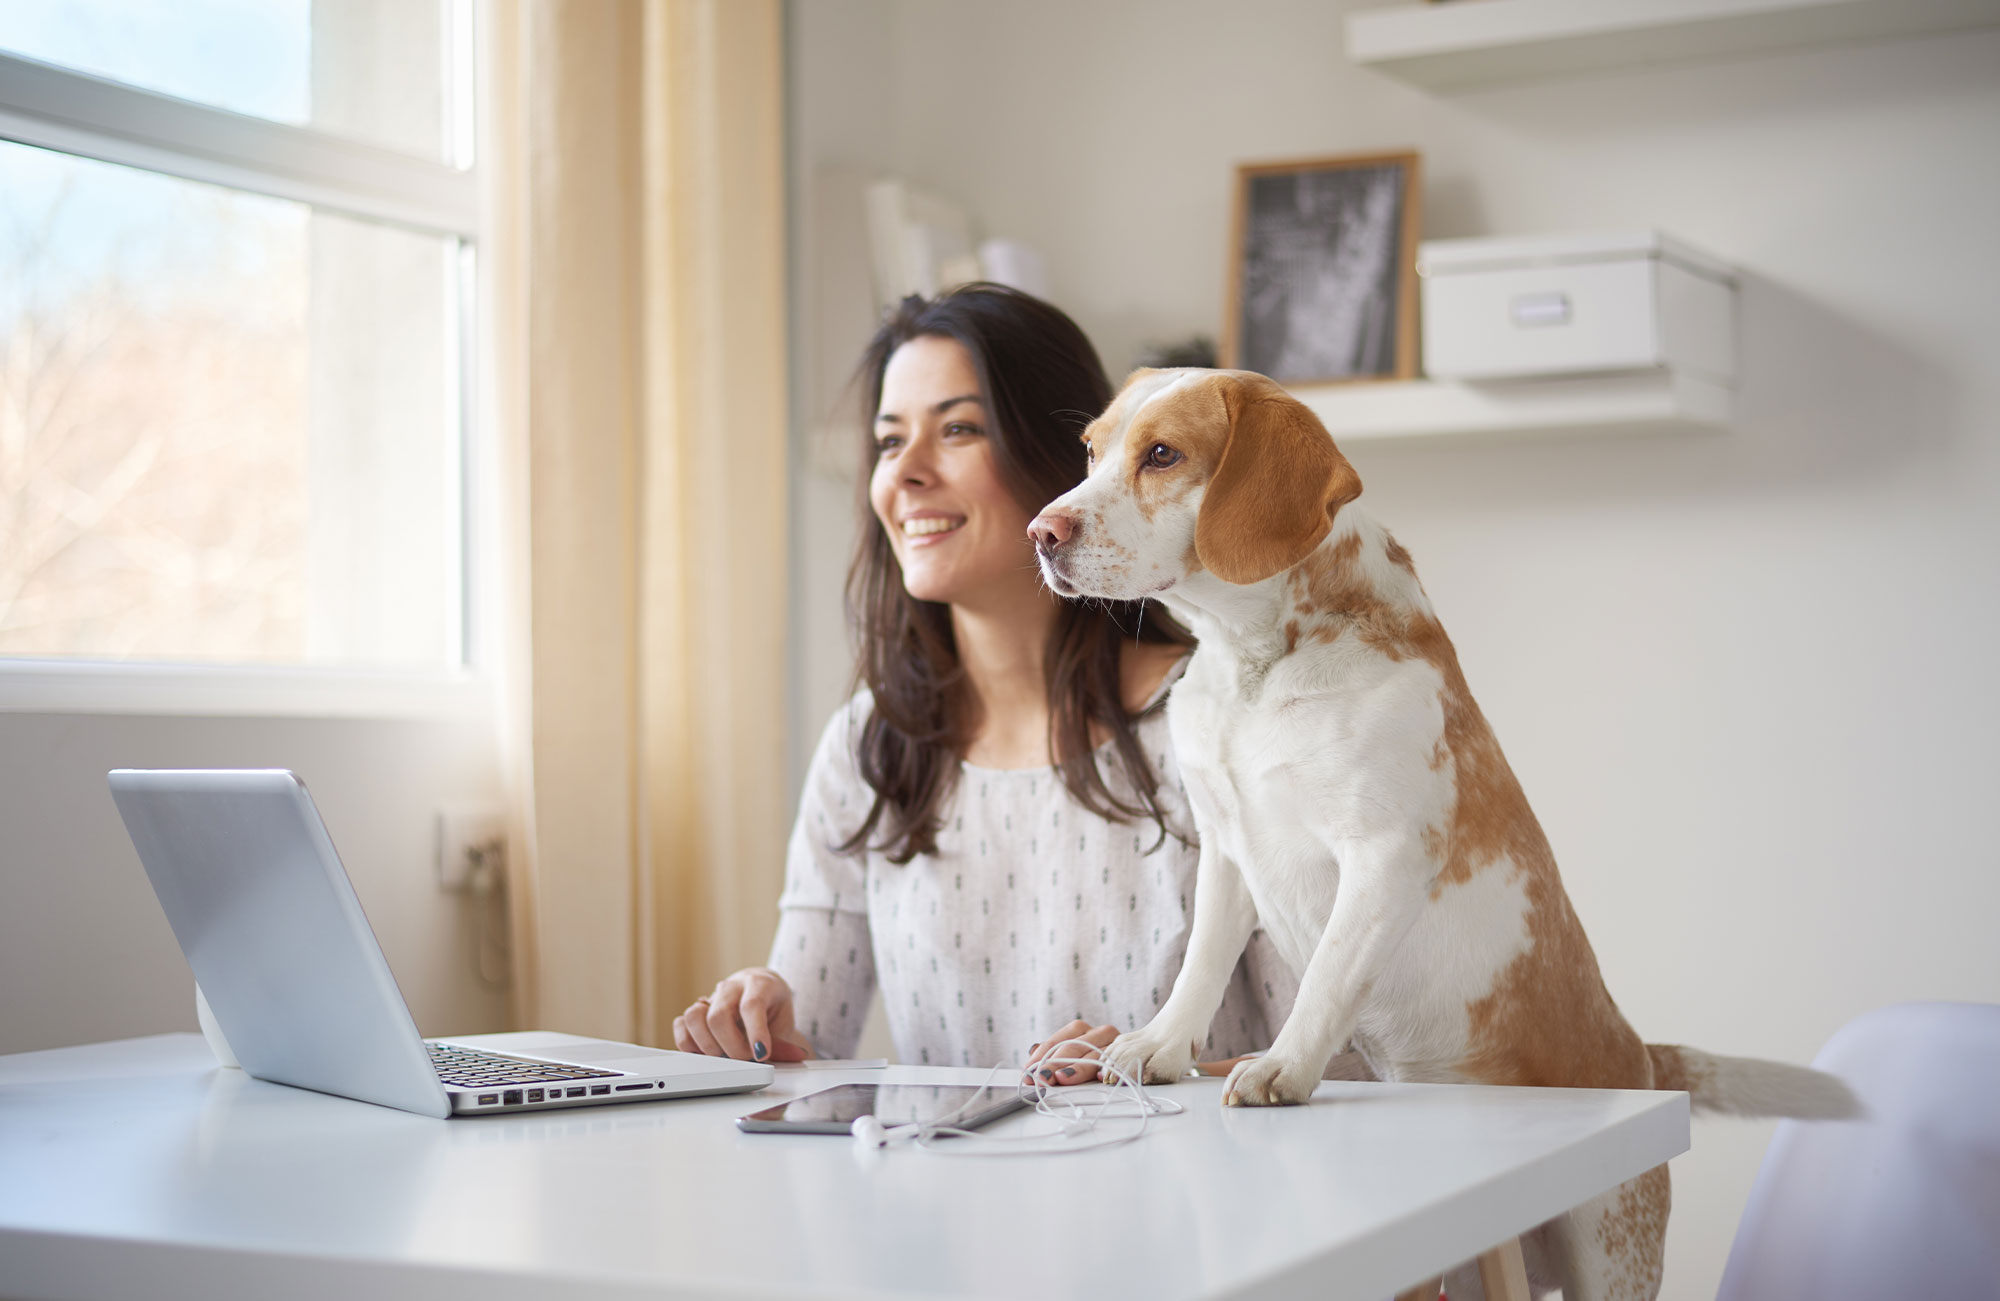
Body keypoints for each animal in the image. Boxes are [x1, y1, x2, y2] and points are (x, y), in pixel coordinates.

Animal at [1032, 364, 1856, 1296]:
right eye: (1091, 449)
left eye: (1163, 455)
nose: (1041, 532)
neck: (1255, 667)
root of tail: (1643, 1057)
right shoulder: (1227, 851)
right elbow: (1200, 969)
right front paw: (1161, 1046)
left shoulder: (1382, 854)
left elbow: (1325, 979)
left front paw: (1282, 1067)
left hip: (1608, 1254)